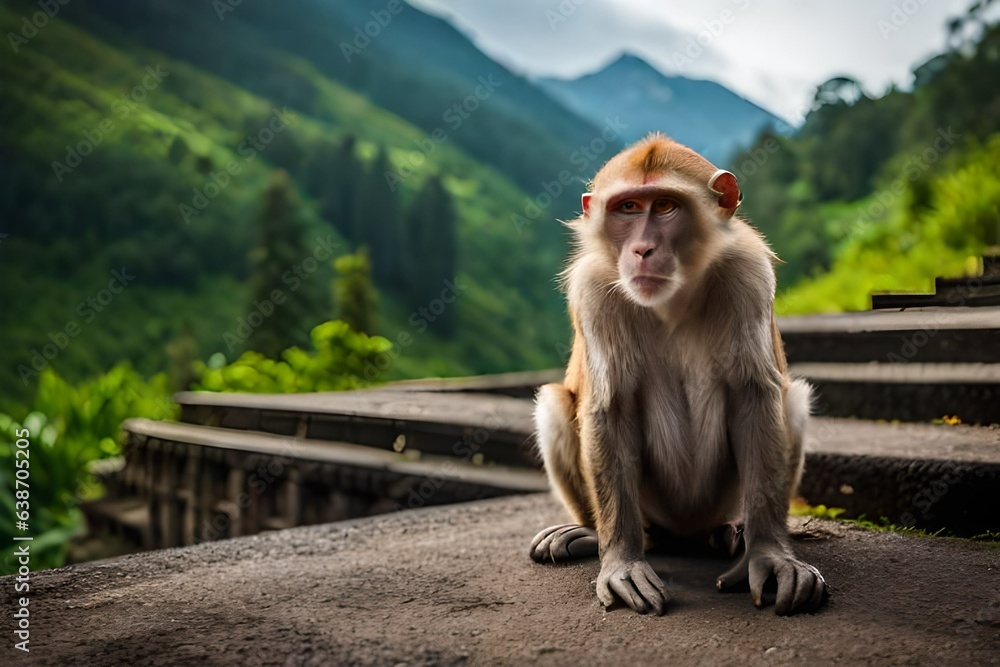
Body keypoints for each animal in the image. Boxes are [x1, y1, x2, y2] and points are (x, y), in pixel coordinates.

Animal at [529, 133, 825, 616]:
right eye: (629, 208)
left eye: (665, 206)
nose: (642, 250)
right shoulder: (593, 289)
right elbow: (610, 408)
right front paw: (622, 560)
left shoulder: (749, 274)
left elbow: (754, 396)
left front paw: (769, 554)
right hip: (654, 511)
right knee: (555, 403)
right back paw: (596, 534)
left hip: (718, 503)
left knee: (792, 399)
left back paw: (730, 534)